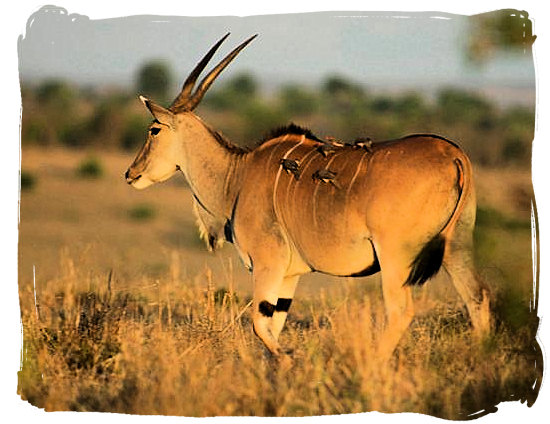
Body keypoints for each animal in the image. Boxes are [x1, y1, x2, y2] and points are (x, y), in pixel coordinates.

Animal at [127, 34, 494, 358]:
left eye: (154, 129)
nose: (131, 173)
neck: (238, 174)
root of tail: (454, 155)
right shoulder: (289, 275)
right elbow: (271, 326)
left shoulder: (268, 264)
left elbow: (260, 325)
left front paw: (291, 361)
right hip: (457, 248)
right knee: (477, 298)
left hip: (396, 257)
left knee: (401, 311)